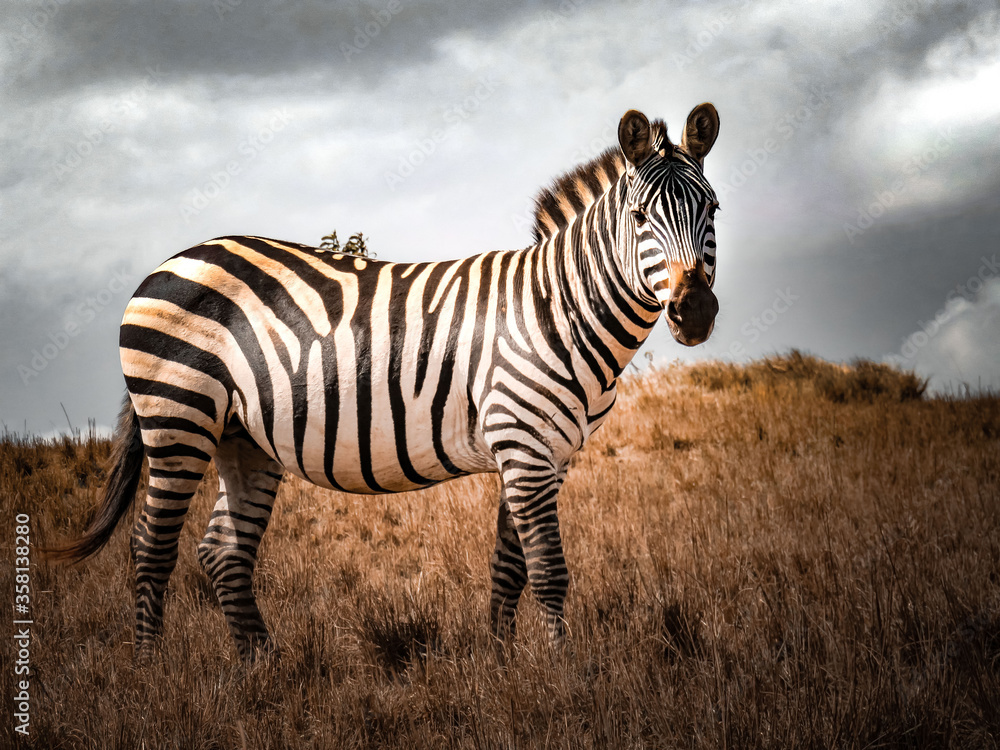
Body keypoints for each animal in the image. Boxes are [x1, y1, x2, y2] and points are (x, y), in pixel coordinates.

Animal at [50, 104, 721, 662]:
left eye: (712, 210)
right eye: (639, 217)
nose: (695, 313)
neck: (556, 307)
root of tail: (168, 263)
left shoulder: (544, 454)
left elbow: (510, 567)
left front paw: (505, 665)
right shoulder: (524, 442)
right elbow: (549, 570)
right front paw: (565, 676)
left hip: (243, 436)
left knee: (222, 551)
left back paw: (261, 670)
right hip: (178, 414)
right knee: (151, 546)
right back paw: (150, 669)